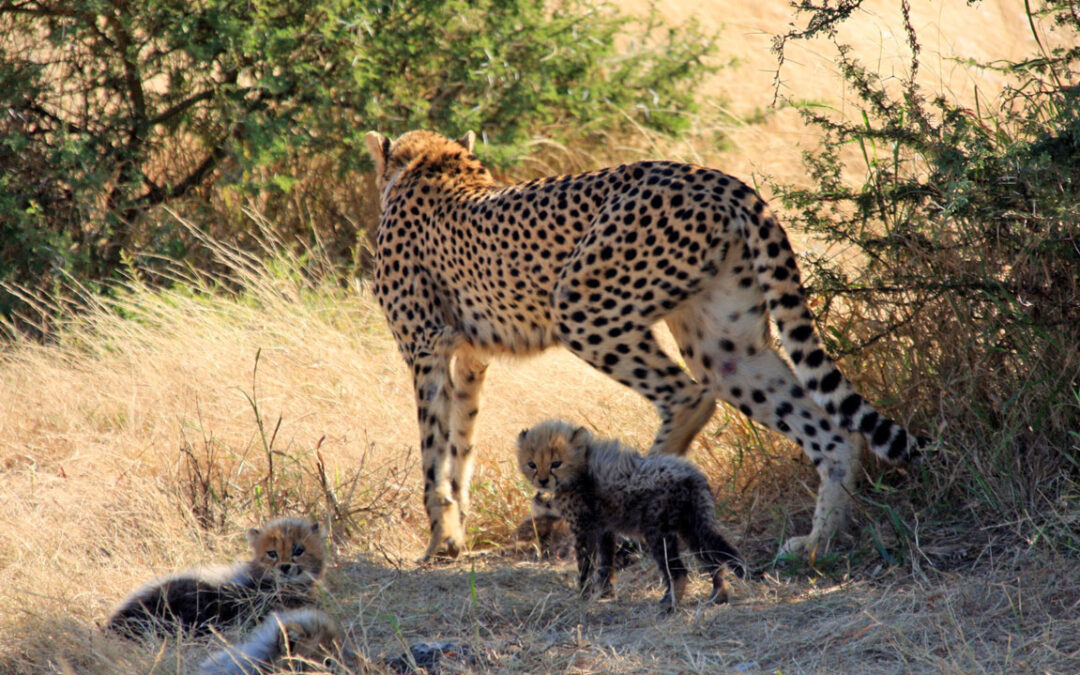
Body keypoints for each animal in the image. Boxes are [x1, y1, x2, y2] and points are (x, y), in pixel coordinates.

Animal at [364, 129, 923, 562]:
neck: (430, 165)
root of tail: (718, 178)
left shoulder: (425, 348)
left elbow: (433, 454)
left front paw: (438, 541)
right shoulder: (469, 359)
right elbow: (459, 445)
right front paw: (455, 534)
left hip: (581, 305)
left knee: (690, 396)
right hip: (725, 345)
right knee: (831, 433)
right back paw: (818, 542)